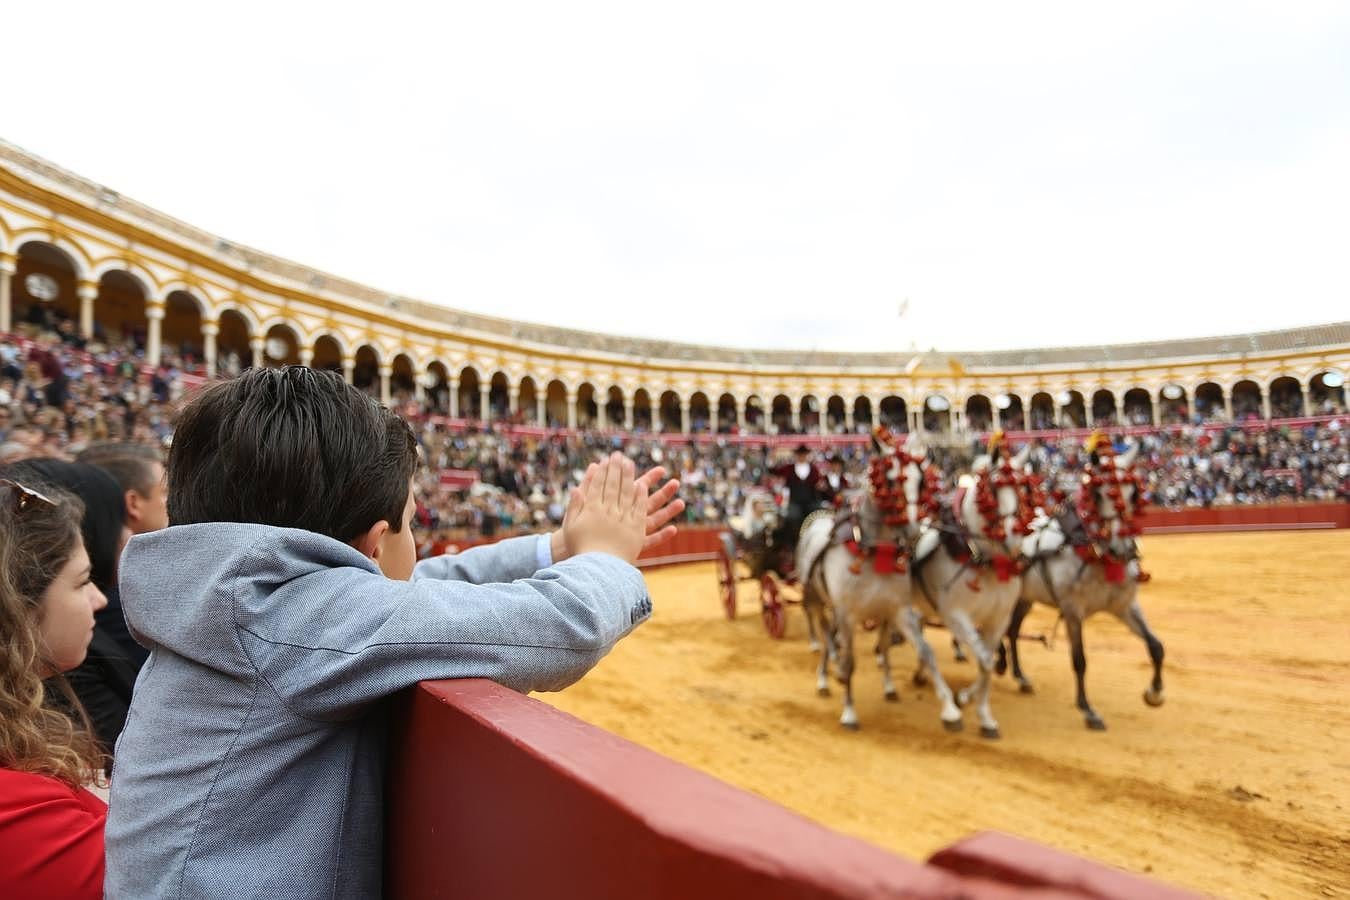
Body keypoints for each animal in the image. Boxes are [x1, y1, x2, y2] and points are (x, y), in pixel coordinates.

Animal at [793, 426, 934, 728]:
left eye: (920, 483)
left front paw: (890, 687)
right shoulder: (848, 614)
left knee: (831, 636)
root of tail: (815, 522)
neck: (873, 550)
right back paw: (824, 678)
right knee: (825, 635)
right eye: (890, 482)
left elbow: (886, 648)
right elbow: (851, 661)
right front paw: (849, 712)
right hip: (817, 600)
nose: (912, 531)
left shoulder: (890, 610)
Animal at [912, 442, 1036, 739]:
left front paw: (980, 712)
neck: (987, 561)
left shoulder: (998, 620)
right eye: (991, 490)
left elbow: (986, 663)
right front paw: (963, 704)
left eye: (1024, 488)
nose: (1014, 538)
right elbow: (986, 661)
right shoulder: (956, 616)